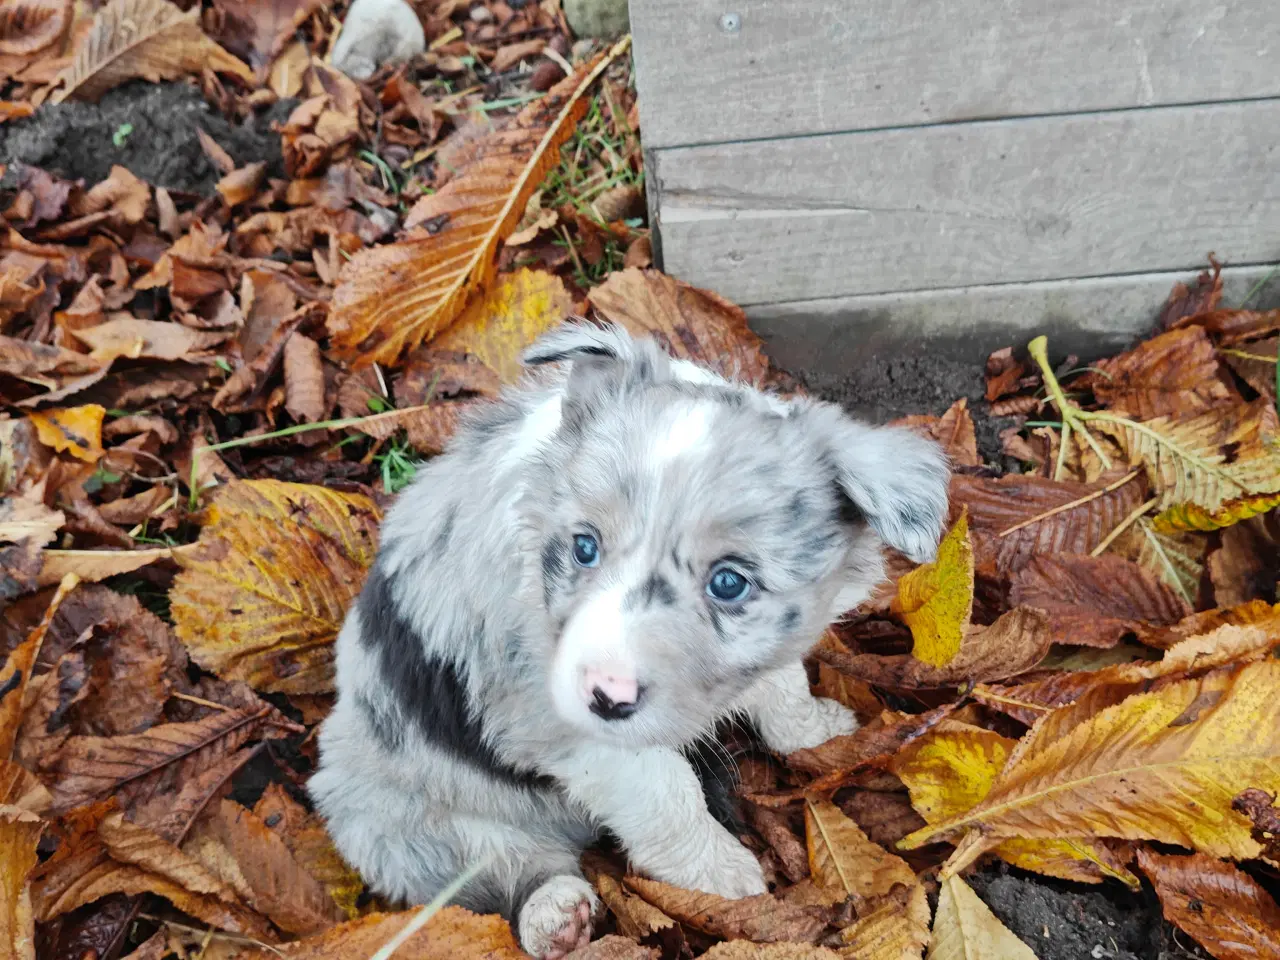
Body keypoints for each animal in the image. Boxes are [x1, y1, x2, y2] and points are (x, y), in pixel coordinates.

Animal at [309, 321, 952, 957]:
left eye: (729, 582)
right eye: (584, 547)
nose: (604, 695)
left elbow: (782, 685)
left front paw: (819, 733)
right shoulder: (563, 725)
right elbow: (667, 795)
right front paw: (718, 875)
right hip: (394, 818)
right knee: (494, 874)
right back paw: (552, 915)